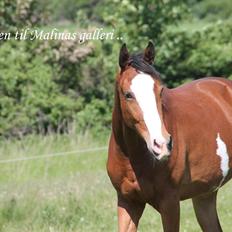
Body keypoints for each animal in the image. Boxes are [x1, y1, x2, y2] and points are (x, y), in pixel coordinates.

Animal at [107, 42, 232, 232]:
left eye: (160, 91)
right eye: (128, 94)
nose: (162, 144)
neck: (133, 159)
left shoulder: (170, 203)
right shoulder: (127, 202)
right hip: (205, 194)